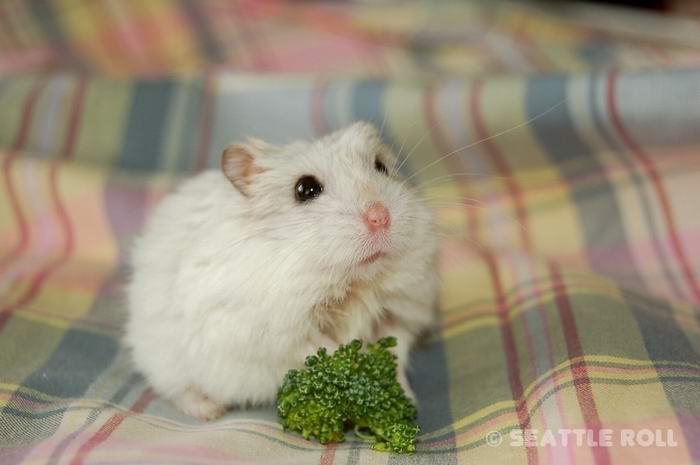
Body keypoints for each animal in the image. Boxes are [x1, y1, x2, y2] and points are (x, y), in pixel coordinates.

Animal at [125, 122, 439, 420]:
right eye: (305, 189)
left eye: (381, 167)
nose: (380, 217)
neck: (353, 280)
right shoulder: (276, 330)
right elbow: (321, 347)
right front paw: (355, 365)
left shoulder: (398, 313)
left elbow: (395, 352)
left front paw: (406, 399)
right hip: (166, 358)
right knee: (178, 389)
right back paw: (208, 410)